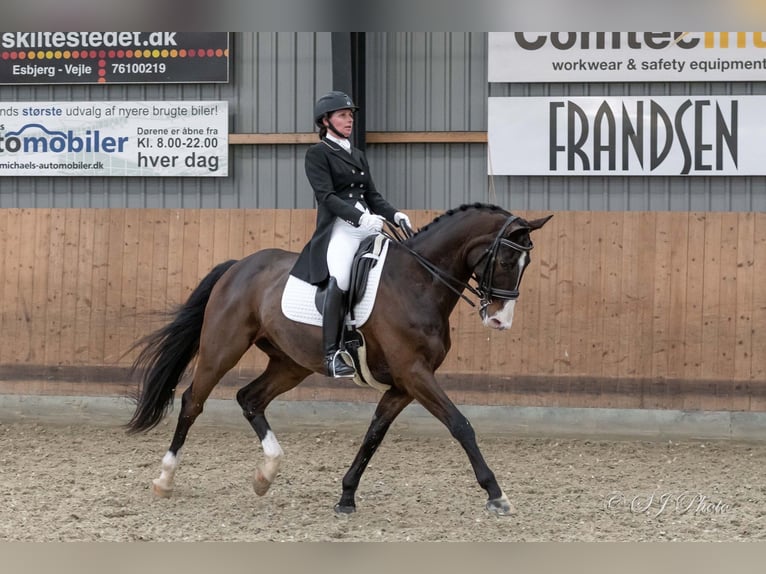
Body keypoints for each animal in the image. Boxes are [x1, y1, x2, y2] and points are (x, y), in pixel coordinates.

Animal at [129, 204, 556, 516]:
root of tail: (237, 266)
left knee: (250, 398)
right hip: (222, 348)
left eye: (525, 266)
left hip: (291, 363)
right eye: (505, 261)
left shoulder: (404, 384)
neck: (417, 281)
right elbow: (461, 425)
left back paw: (266, 473)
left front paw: (346, 496)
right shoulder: (415, 374)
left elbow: (374, 435)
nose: (499, 321)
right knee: (193, 401)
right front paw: (496, 494)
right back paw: (165, 479)